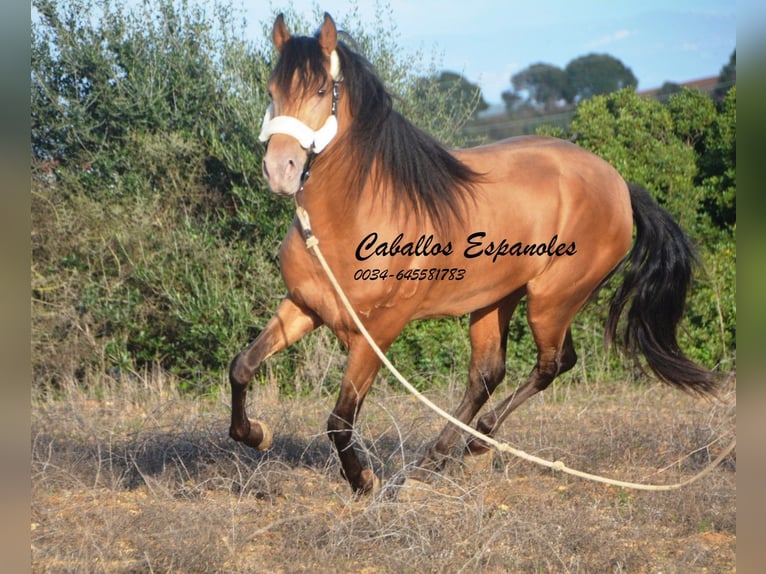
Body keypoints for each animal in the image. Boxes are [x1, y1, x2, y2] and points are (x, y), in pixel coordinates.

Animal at [228, 12, 720, 496]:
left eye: (318, 91)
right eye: (271, 91)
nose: (280, 170)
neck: (353, 217)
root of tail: (620, 187)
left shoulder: (378, 333)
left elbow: (339, 419)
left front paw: (364, 481)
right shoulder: (303, 306)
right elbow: (242, 367)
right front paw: (256, 433)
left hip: (552, 301)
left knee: (552, 364)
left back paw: (474, 447)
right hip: (496, 300)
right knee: (487, 373)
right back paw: (431, 462)